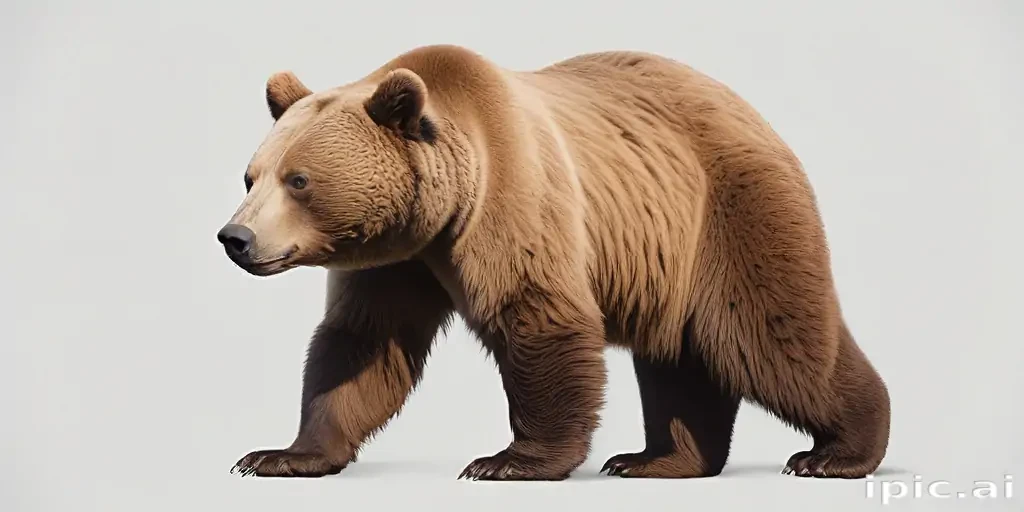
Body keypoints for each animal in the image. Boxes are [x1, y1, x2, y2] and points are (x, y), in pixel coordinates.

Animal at [217, 44, 890, 481]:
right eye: (251, 175)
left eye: (299, 180)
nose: (235, 237)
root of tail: (753, 112)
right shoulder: (396, 259)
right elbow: (359, 345)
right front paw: (281, 455)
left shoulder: (513, 192)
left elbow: (537, 317)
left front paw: (509, 461)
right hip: (670, 255)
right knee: (678, 355)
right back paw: (658, 460)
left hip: (727, 211)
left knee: (771, 337)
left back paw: (835, 453)